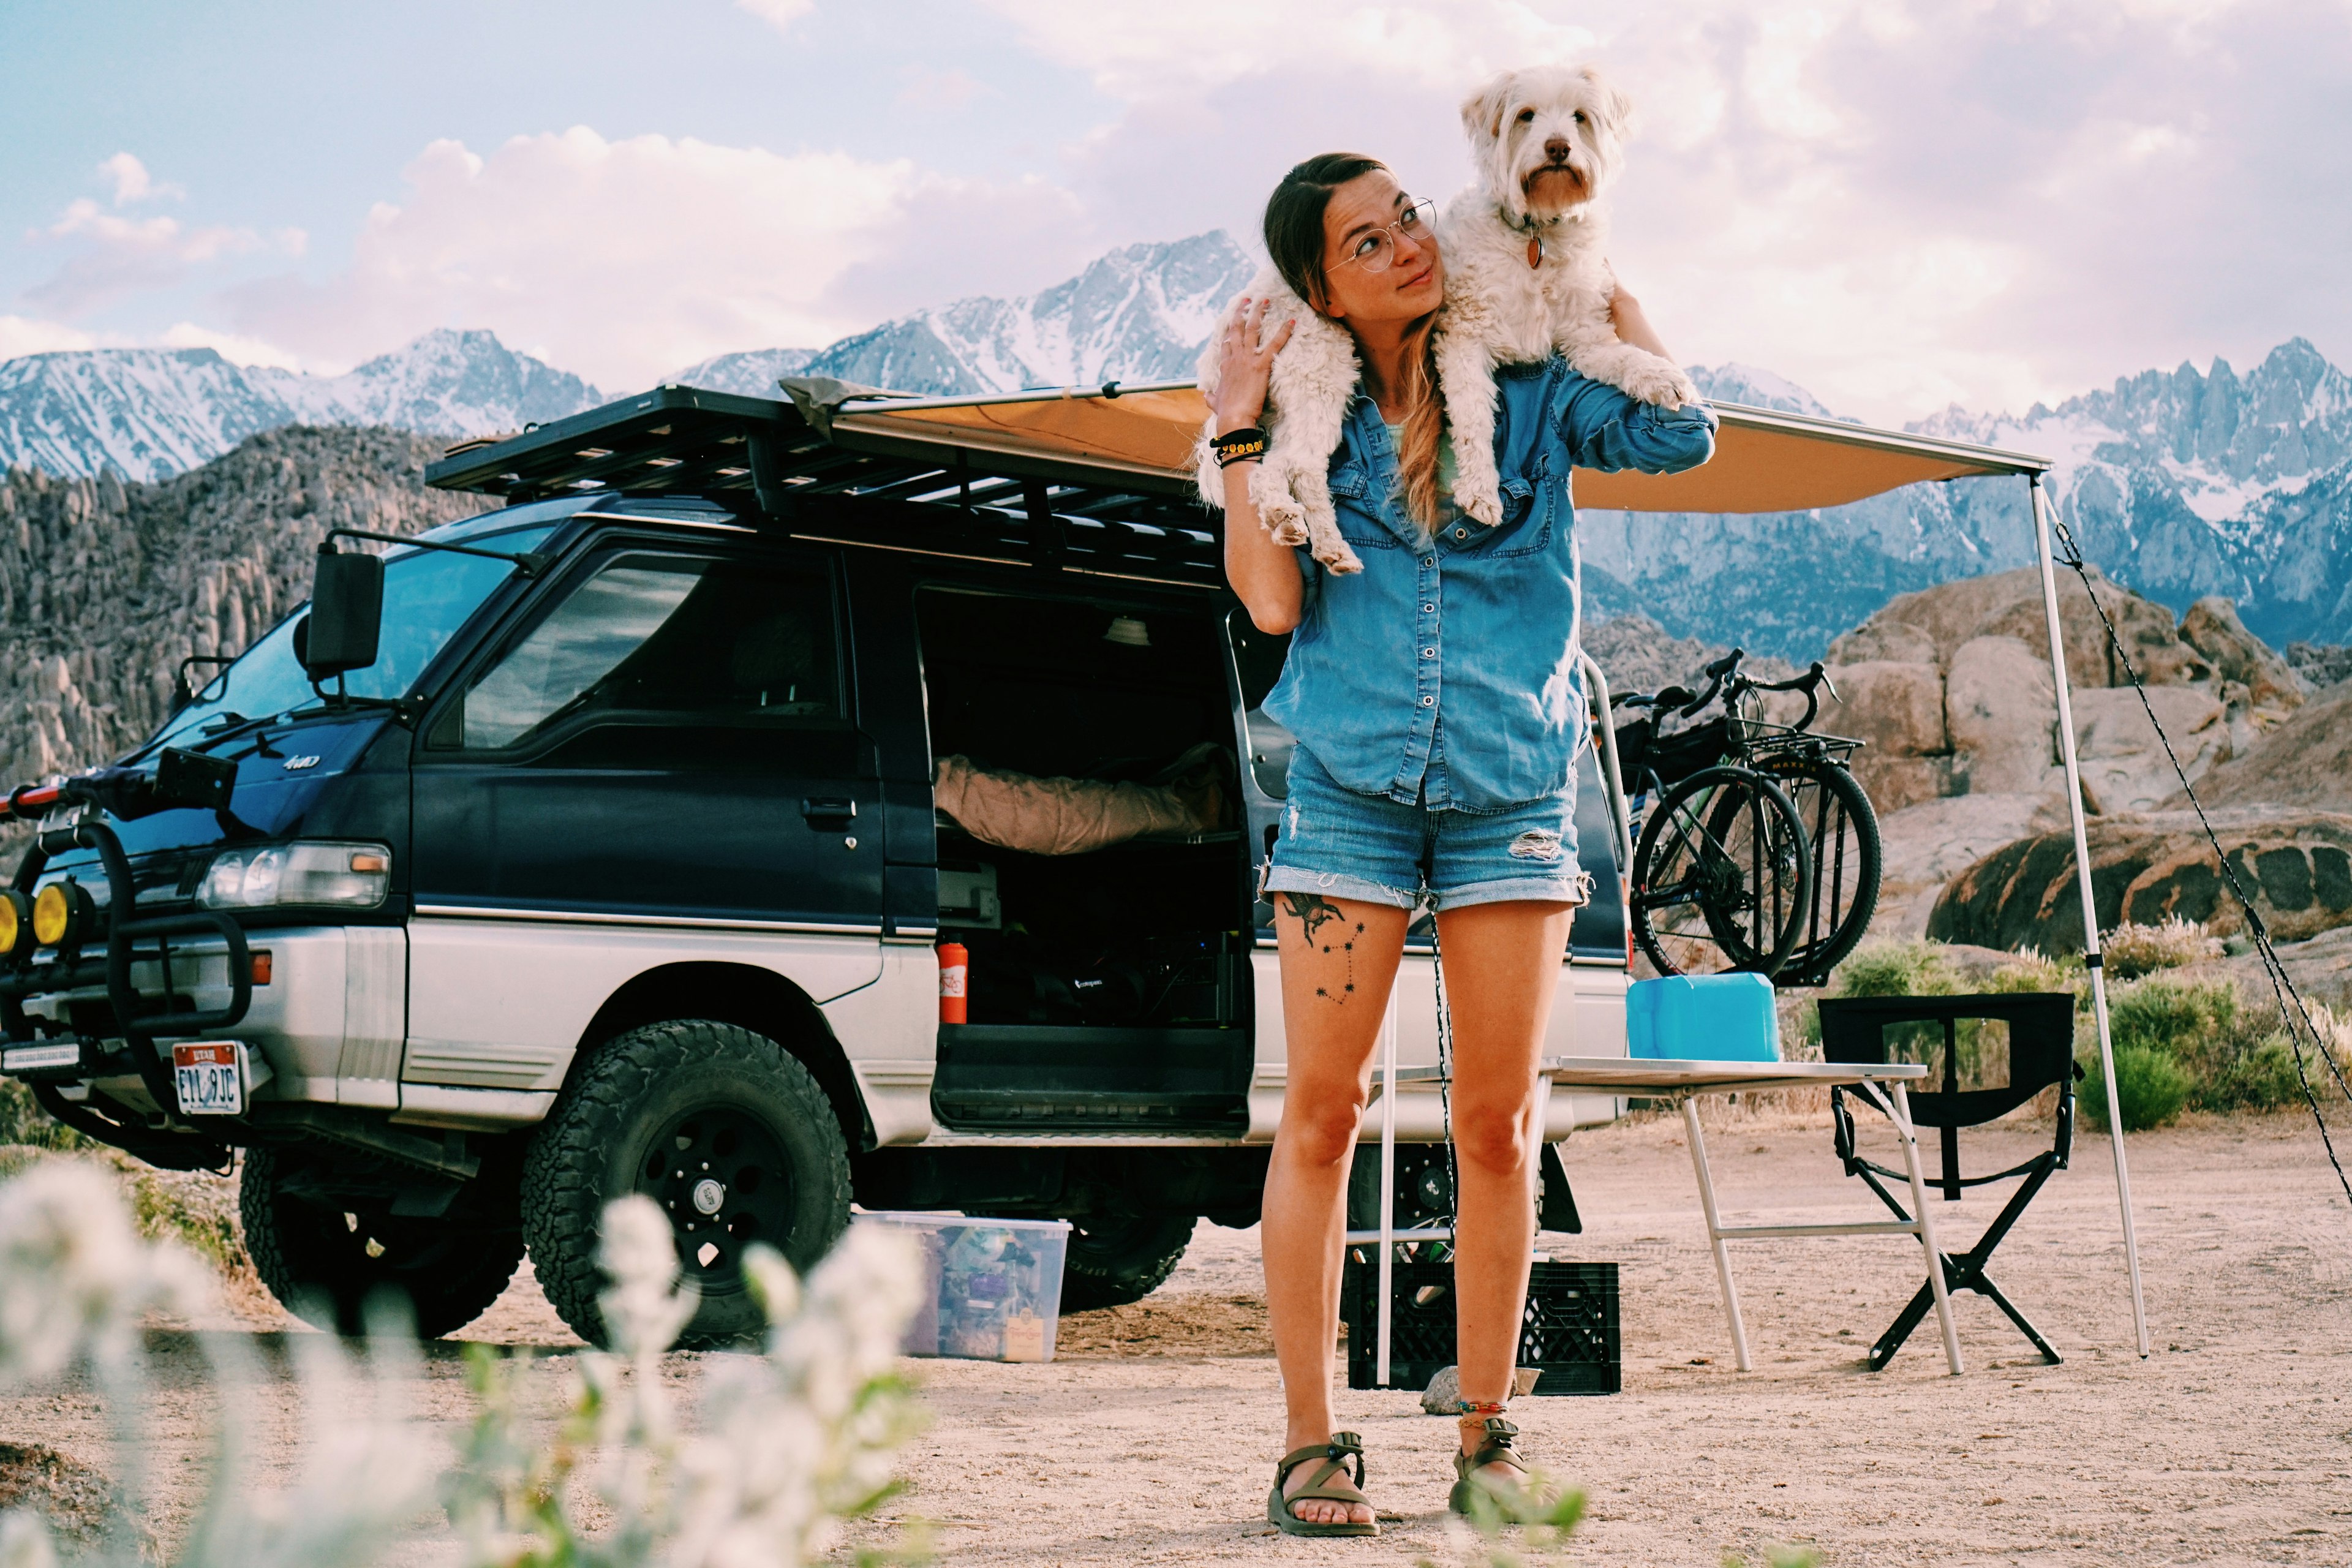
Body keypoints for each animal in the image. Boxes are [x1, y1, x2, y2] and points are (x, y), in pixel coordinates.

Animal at [1194, 66, 1693, 576]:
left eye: (1580, 117)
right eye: (1526, 116)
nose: (1558, 147)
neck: (1536, 237)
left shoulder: (1584, 336)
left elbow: (1624, 358)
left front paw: (1666, 380)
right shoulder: (1463, 337)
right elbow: (1473, 417)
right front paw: (1481, 491)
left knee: (1294, 469)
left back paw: (1325, 544)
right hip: (1321, 375)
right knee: (1286, 468)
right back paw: (1291, 519)